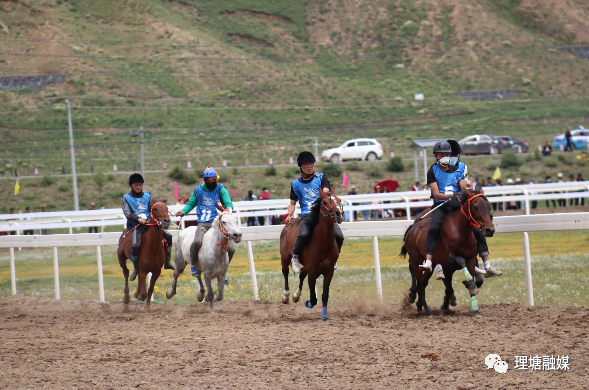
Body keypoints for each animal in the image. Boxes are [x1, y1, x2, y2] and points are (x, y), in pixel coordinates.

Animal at [280, 188, 342, 320]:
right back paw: (286, 296)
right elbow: (313, 298)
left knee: (302, 273)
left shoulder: (328, 271)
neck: (323, 244)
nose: (339, 214)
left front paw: (324, 316)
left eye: (339, 200)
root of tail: (290, 222)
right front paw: (308, 302)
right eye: (325, 202)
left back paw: (296, 296)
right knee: (286, 272)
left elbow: (325, 295)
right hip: (285, 256)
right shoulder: (313, 271)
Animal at [400, 188, 492, 316]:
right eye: (475, 207)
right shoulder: (449, 260)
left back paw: (420, 306)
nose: (489, 230)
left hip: (430, 265)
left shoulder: (470, 259)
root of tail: (413, 227)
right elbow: (460, 261)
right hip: (416, 259)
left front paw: (476, 309)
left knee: (423, 282)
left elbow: (471, 278)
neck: (461, 232)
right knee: (419, 283)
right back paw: (427, 311)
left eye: (488, 206)